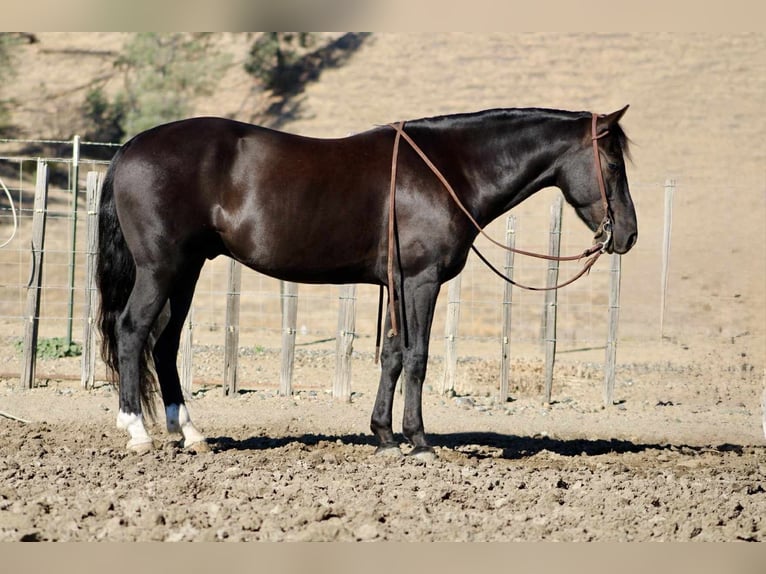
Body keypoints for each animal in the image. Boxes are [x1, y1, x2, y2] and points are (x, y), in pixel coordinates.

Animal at [96, 106, 637, 458]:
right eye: (613, 162)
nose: (628, 234)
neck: (448, 170)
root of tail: (130, 148)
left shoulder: (396, 284)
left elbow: (393, 355)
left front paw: (384, 435)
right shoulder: (421, 281)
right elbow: (417, 357)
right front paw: (418, 441)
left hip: (186, 271)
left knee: (164, 344)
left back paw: (189, 433)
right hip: (160, 269)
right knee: (132, 331)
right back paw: (137, 431)